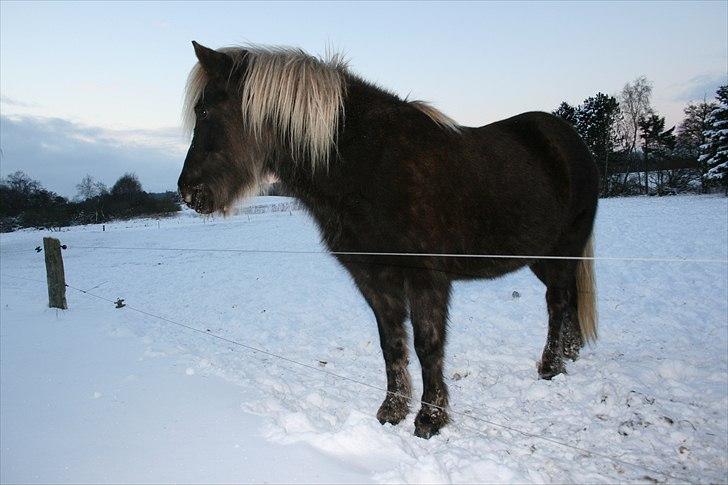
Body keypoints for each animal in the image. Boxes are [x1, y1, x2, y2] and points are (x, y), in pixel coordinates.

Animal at [179, 42, 600, 438]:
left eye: (206, 111)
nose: (188, 192)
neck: (371, 165)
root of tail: (566, 138)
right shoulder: (374, 280)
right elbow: (392, 344)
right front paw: (393, 410)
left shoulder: (426, 279)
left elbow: (428, 345)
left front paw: (430, 419)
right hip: (541, 257)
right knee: (568, 297)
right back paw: (570, 352)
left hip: (563, 249)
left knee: (557, 301)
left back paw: (551, 366)